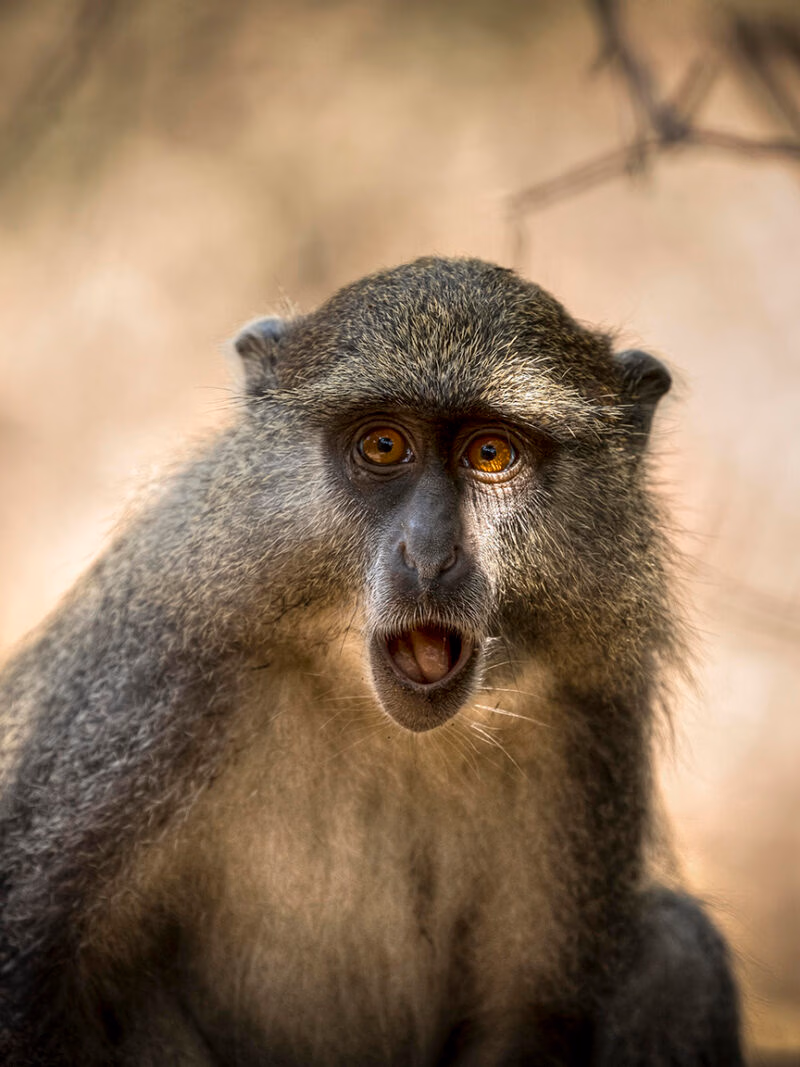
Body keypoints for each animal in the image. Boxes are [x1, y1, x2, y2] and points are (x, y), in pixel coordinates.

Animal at [0, 256, 744, 1066]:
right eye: (384, 447)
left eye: (491, 453)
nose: (430, 553)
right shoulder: (161, 668)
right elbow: (35, 965)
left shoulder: (589, 711)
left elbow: (532, 1016)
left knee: (678, 952)